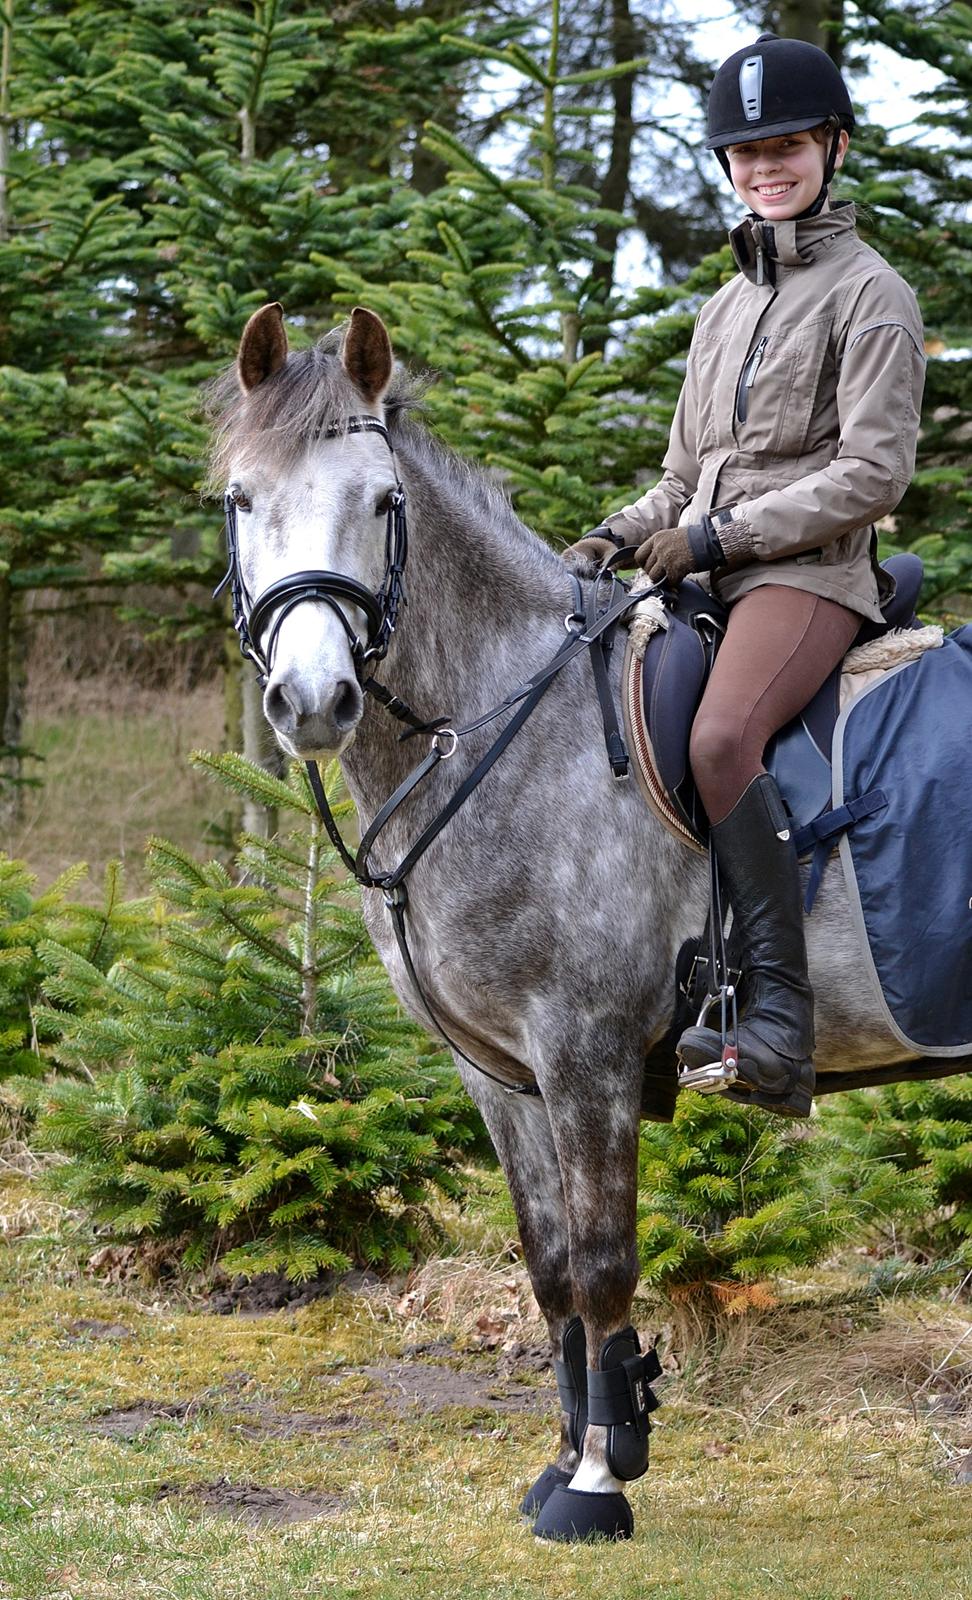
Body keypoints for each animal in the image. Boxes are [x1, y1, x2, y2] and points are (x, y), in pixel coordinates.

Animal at [207, 301, 938, 1542]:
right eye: (243, 499)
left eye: (384, 501)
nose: (311, 701)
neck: (507, 726)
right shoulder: (499, 1072)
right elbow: (549, 1265)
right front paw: (572, 1453)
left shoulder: (585, 1049)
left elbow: (600, 1261)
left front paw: (597, 1482)